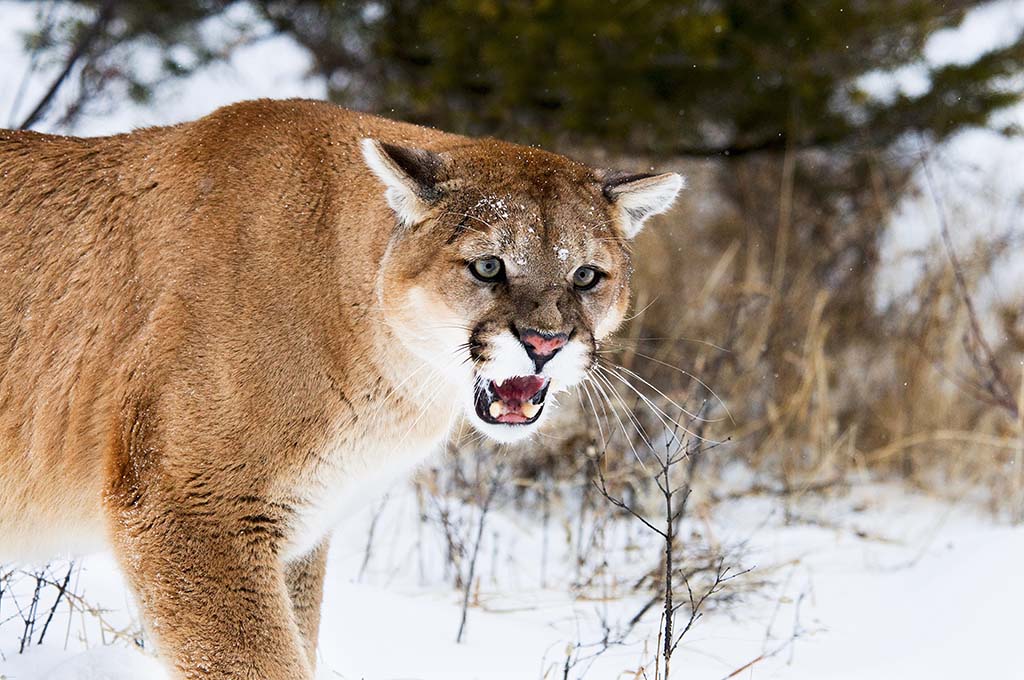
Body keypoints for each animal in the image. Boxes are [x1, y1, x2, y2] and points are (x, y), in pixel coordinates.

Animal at [0, 98, 679, 675]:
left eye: (586, 275)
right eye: (489, 266)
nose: (544, 343)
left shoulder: (298, 530)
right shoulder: (191, 506)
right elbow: (259, 662)